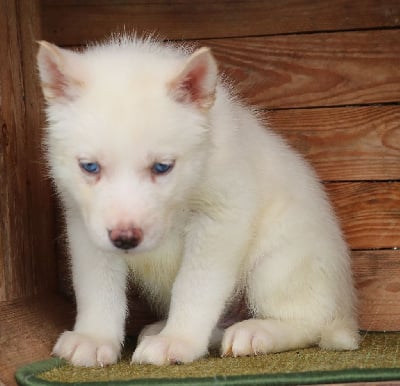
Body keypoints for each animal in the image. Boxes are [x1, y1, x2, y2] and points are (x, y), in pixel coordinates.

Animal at [36, 34, 358, 366]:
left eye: (162, 167)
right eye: (89, 167)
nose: (125, 239)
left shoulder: (220, 218)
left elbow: (194, 287)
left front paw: (177, 341)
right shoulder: (84, 223)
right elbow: (97, 287)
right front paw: (94, 337)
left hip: (279, 262)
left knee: (310, 322)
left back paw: (257, 333)